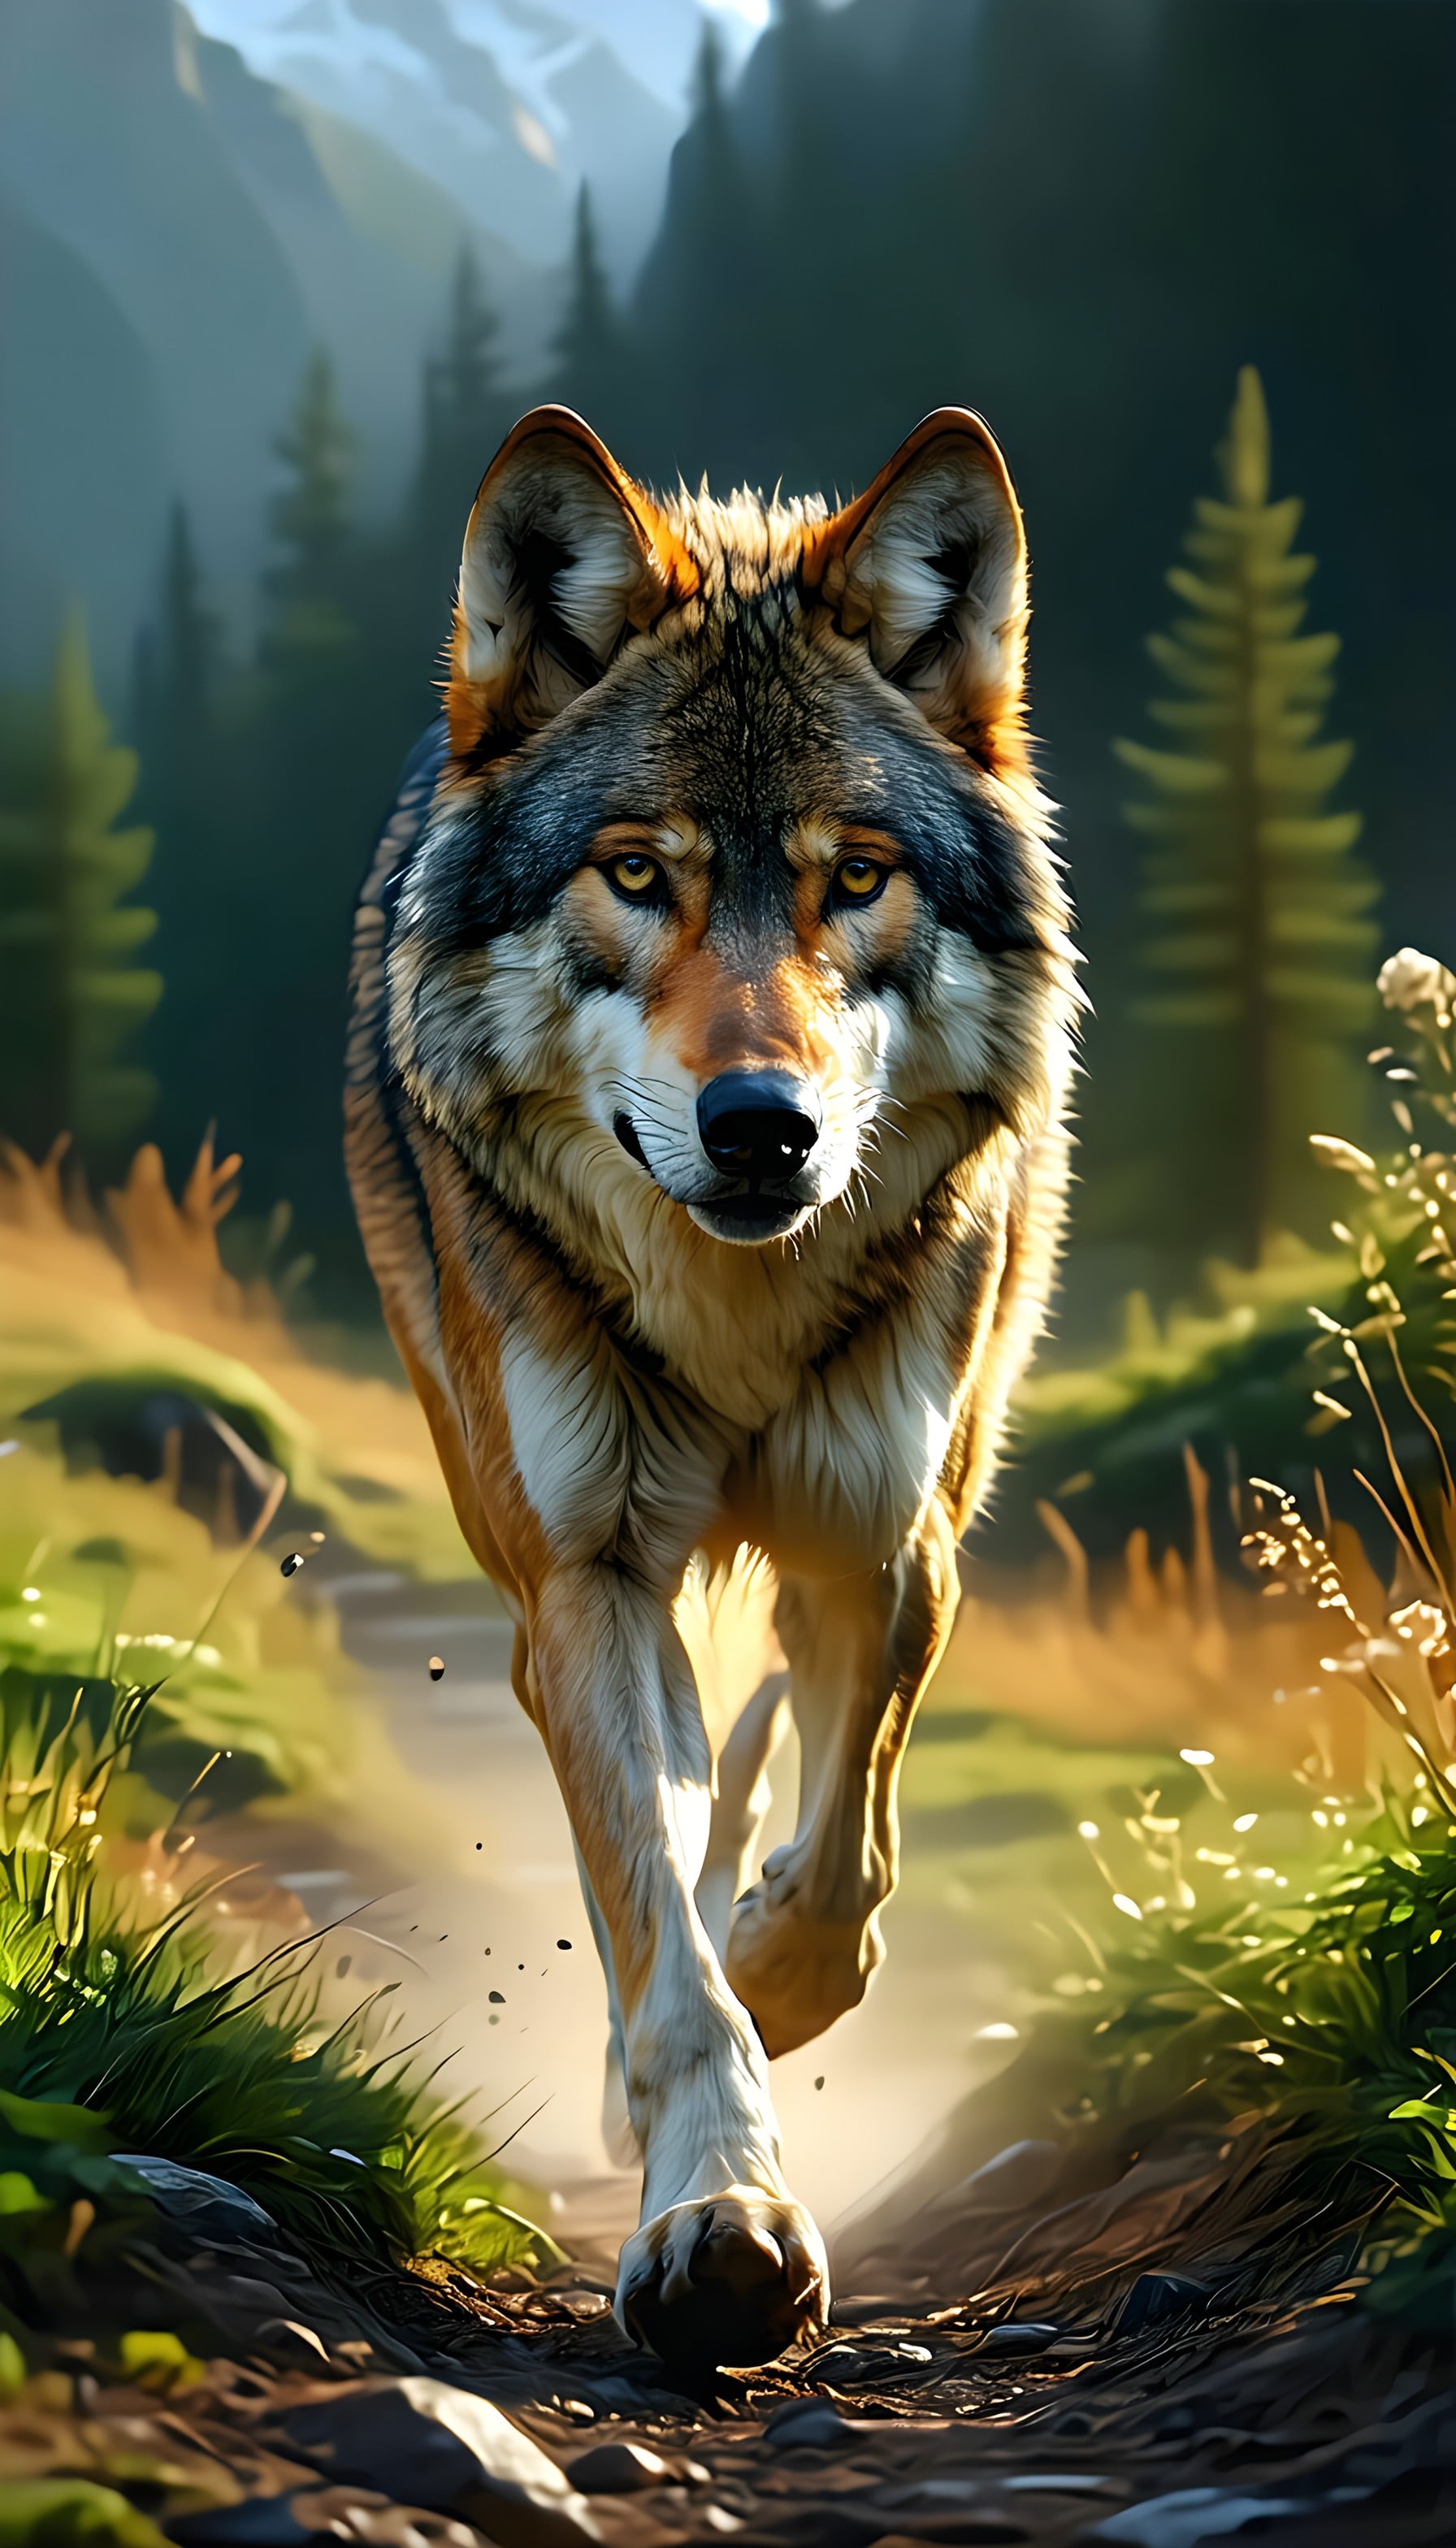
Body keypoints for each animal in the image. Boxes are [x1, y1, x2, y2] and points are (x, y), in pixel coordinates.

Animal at [346, 404, 1078, 2370]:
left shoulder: (883, 1547)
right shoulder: (583, 1580)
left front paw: (759, 1967)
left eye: (853, 875)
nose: (765, 1129)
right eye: (635, 870)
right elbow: (657, 1934)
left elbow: (839, 1889)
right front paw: (717, 2213)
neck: (734, 1320)